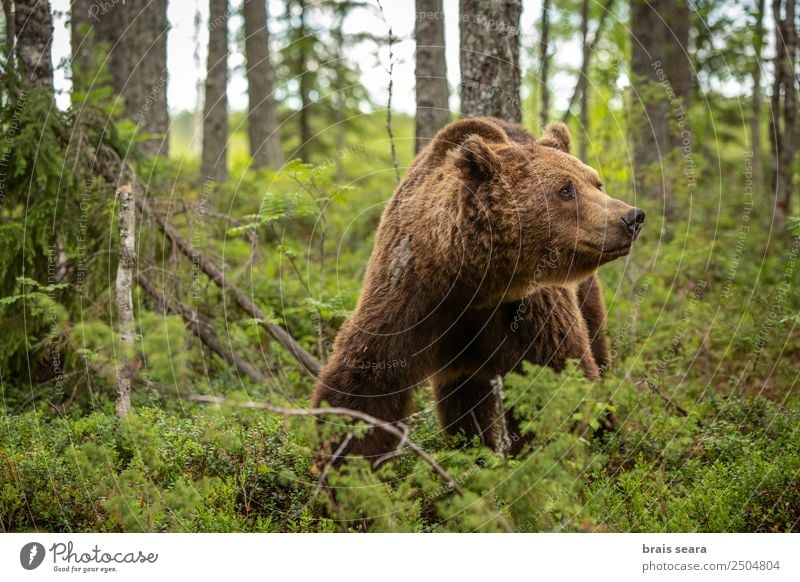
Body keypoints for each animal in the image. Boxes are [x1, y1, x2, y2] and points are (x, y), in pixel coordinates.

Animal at [312, 117, 644, 466]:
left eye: (596, 183)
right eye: (565, 189)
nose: (631, 217)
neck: (475, 283)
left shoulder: (527, 308)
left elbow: (556, 374)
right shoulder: (412, 297)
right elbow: (367, 382)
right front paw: (342, 459)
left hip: (583, 291)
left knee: (598, 345)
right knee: (462, 399)